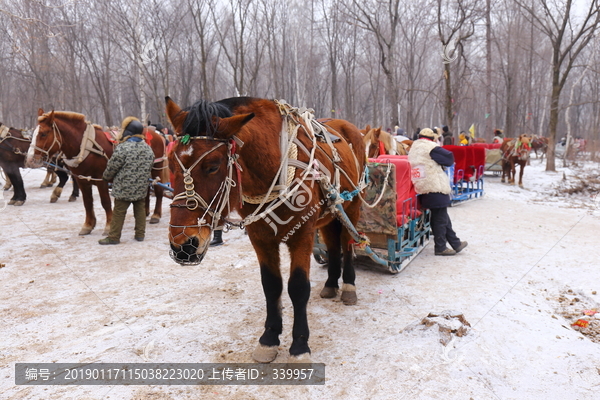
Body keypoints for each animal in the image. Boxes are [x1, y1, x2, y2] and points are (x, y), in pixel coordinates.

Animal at [166, 97, 368, 362]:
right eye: (169, 163)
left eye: (213, 166)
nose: (183, 245)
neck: (275, 170)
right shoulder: (259, 236)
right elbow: (271, 285)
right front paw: (269, 338)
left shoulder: (302, 234)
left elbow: (298, 287)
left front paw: (299, 345)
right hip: (329, 213)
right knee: (333, 245)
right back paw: (331, 284)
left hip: (352, 206)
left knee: (347, 243)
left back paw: (348, 286)